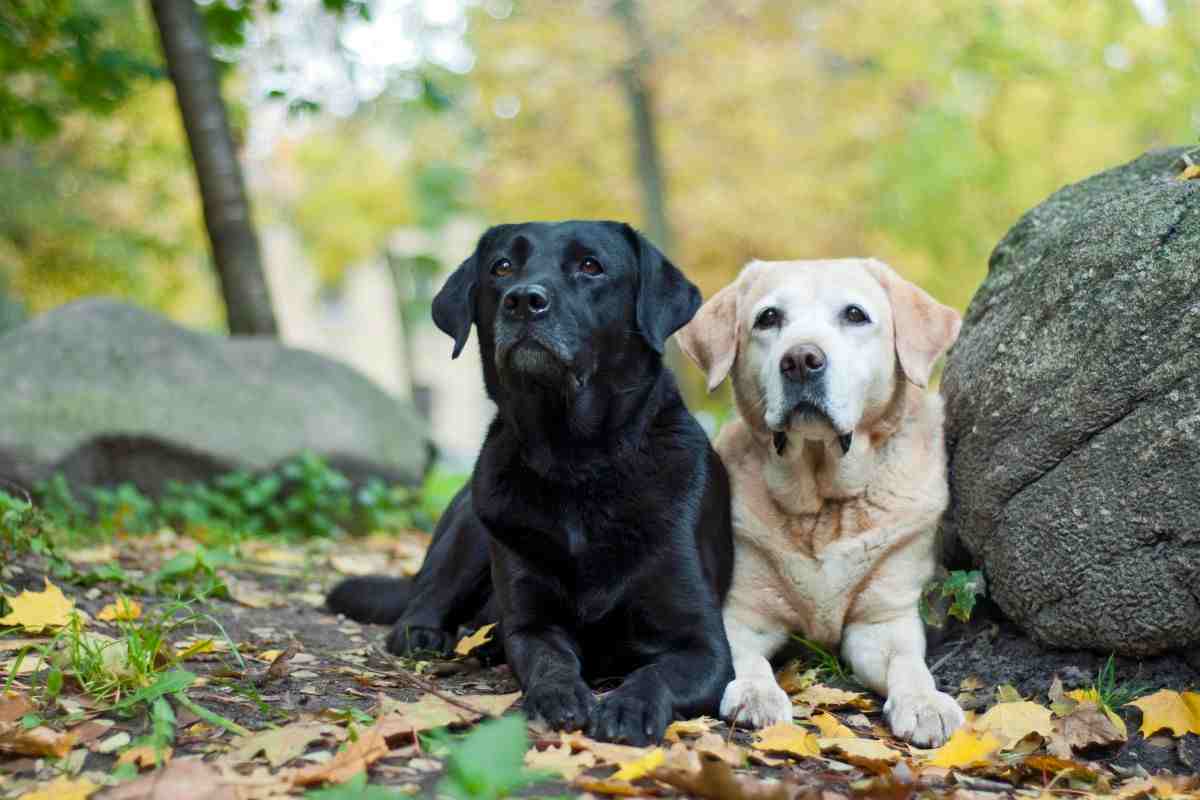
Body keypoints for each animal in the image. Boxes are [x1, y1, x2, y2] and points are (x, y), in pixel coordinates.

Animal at [331, 220, 739, 743]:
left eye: (591, 266)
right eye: (502, 267)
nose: (523, 300)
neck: (577, 463)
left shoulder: (705, 646)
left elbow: (657, 672)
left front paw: (628, 706)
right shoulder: (530, 623)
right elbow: (549, 659)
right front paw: (556, 695)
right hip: (470, 526)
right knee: (422, 602)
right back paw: (431, 633)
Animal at [676, 260, 964, 748]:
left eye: (854, 314)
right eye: (768, 318)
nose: (801, 360)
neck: (823, 506)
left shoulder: (884, 620)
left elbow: (909, 664)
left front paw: (925, 703)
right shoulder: (742, 612)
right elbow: (743, 657)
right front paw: (755, 693)